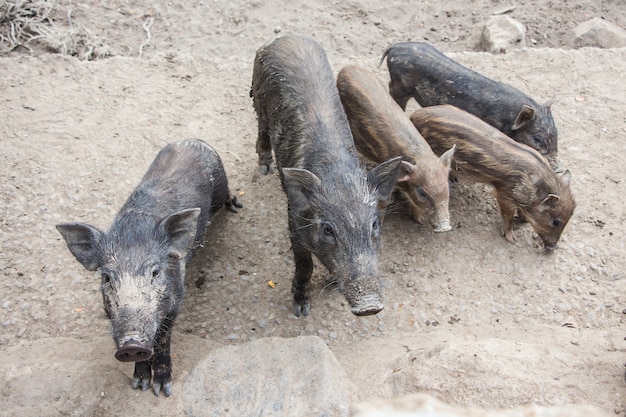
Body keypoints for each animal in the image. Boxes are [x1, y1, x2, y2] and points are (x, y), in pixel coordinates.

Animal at [56, 138, 241, 394]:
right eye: (106, 278)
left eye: (155, 272)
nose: (132, 343)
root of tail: (193, 140)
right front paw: (140, 384)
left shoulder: (176, 297)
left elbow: (163, 338)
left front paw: (162, 390)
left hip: (221, 182)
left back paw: (235, 206)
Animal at [251, 35, 402, 316]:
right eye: (328, 228)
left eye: (375, 224)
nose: (369, 307)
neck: (337, 171)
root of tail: (285, 38)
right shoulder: (294, 225)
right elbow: (304, 265)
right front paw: (301, 309)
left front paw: (331, 284)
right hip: (258, 97)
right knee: (261, 127)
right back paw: (265, 168)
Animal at [380, 41, 560, 171]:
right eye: (538, 139)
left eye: (556, 136)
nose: (558, 168)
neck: (509, 119)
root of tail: (395, 46)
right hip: (400, 85)